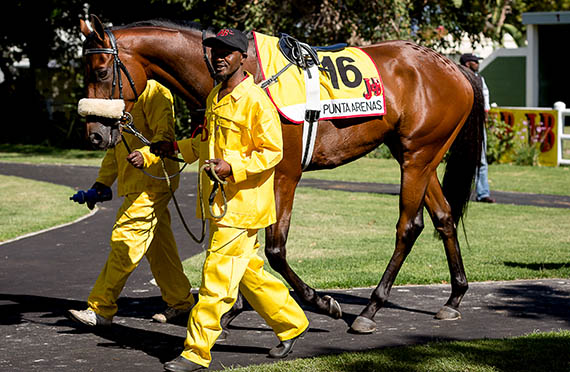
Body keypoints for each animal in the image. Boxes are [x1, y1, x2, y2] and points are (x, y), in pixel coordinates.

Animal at [77, 15, 482, 334]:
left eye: (101, 71)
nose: (95, 134)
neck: (247, 78)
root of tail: (453, 68)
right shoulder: (242, 175)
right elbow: (241, 241)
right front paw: (232, 308)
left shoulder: (283, 175)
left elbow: (274, 248)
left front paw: (320, 302)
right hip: (417, 155)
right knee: (444, 217)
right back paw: (454, 297)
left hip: (418, 155)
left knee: (408, 227)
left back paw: (370, 308)